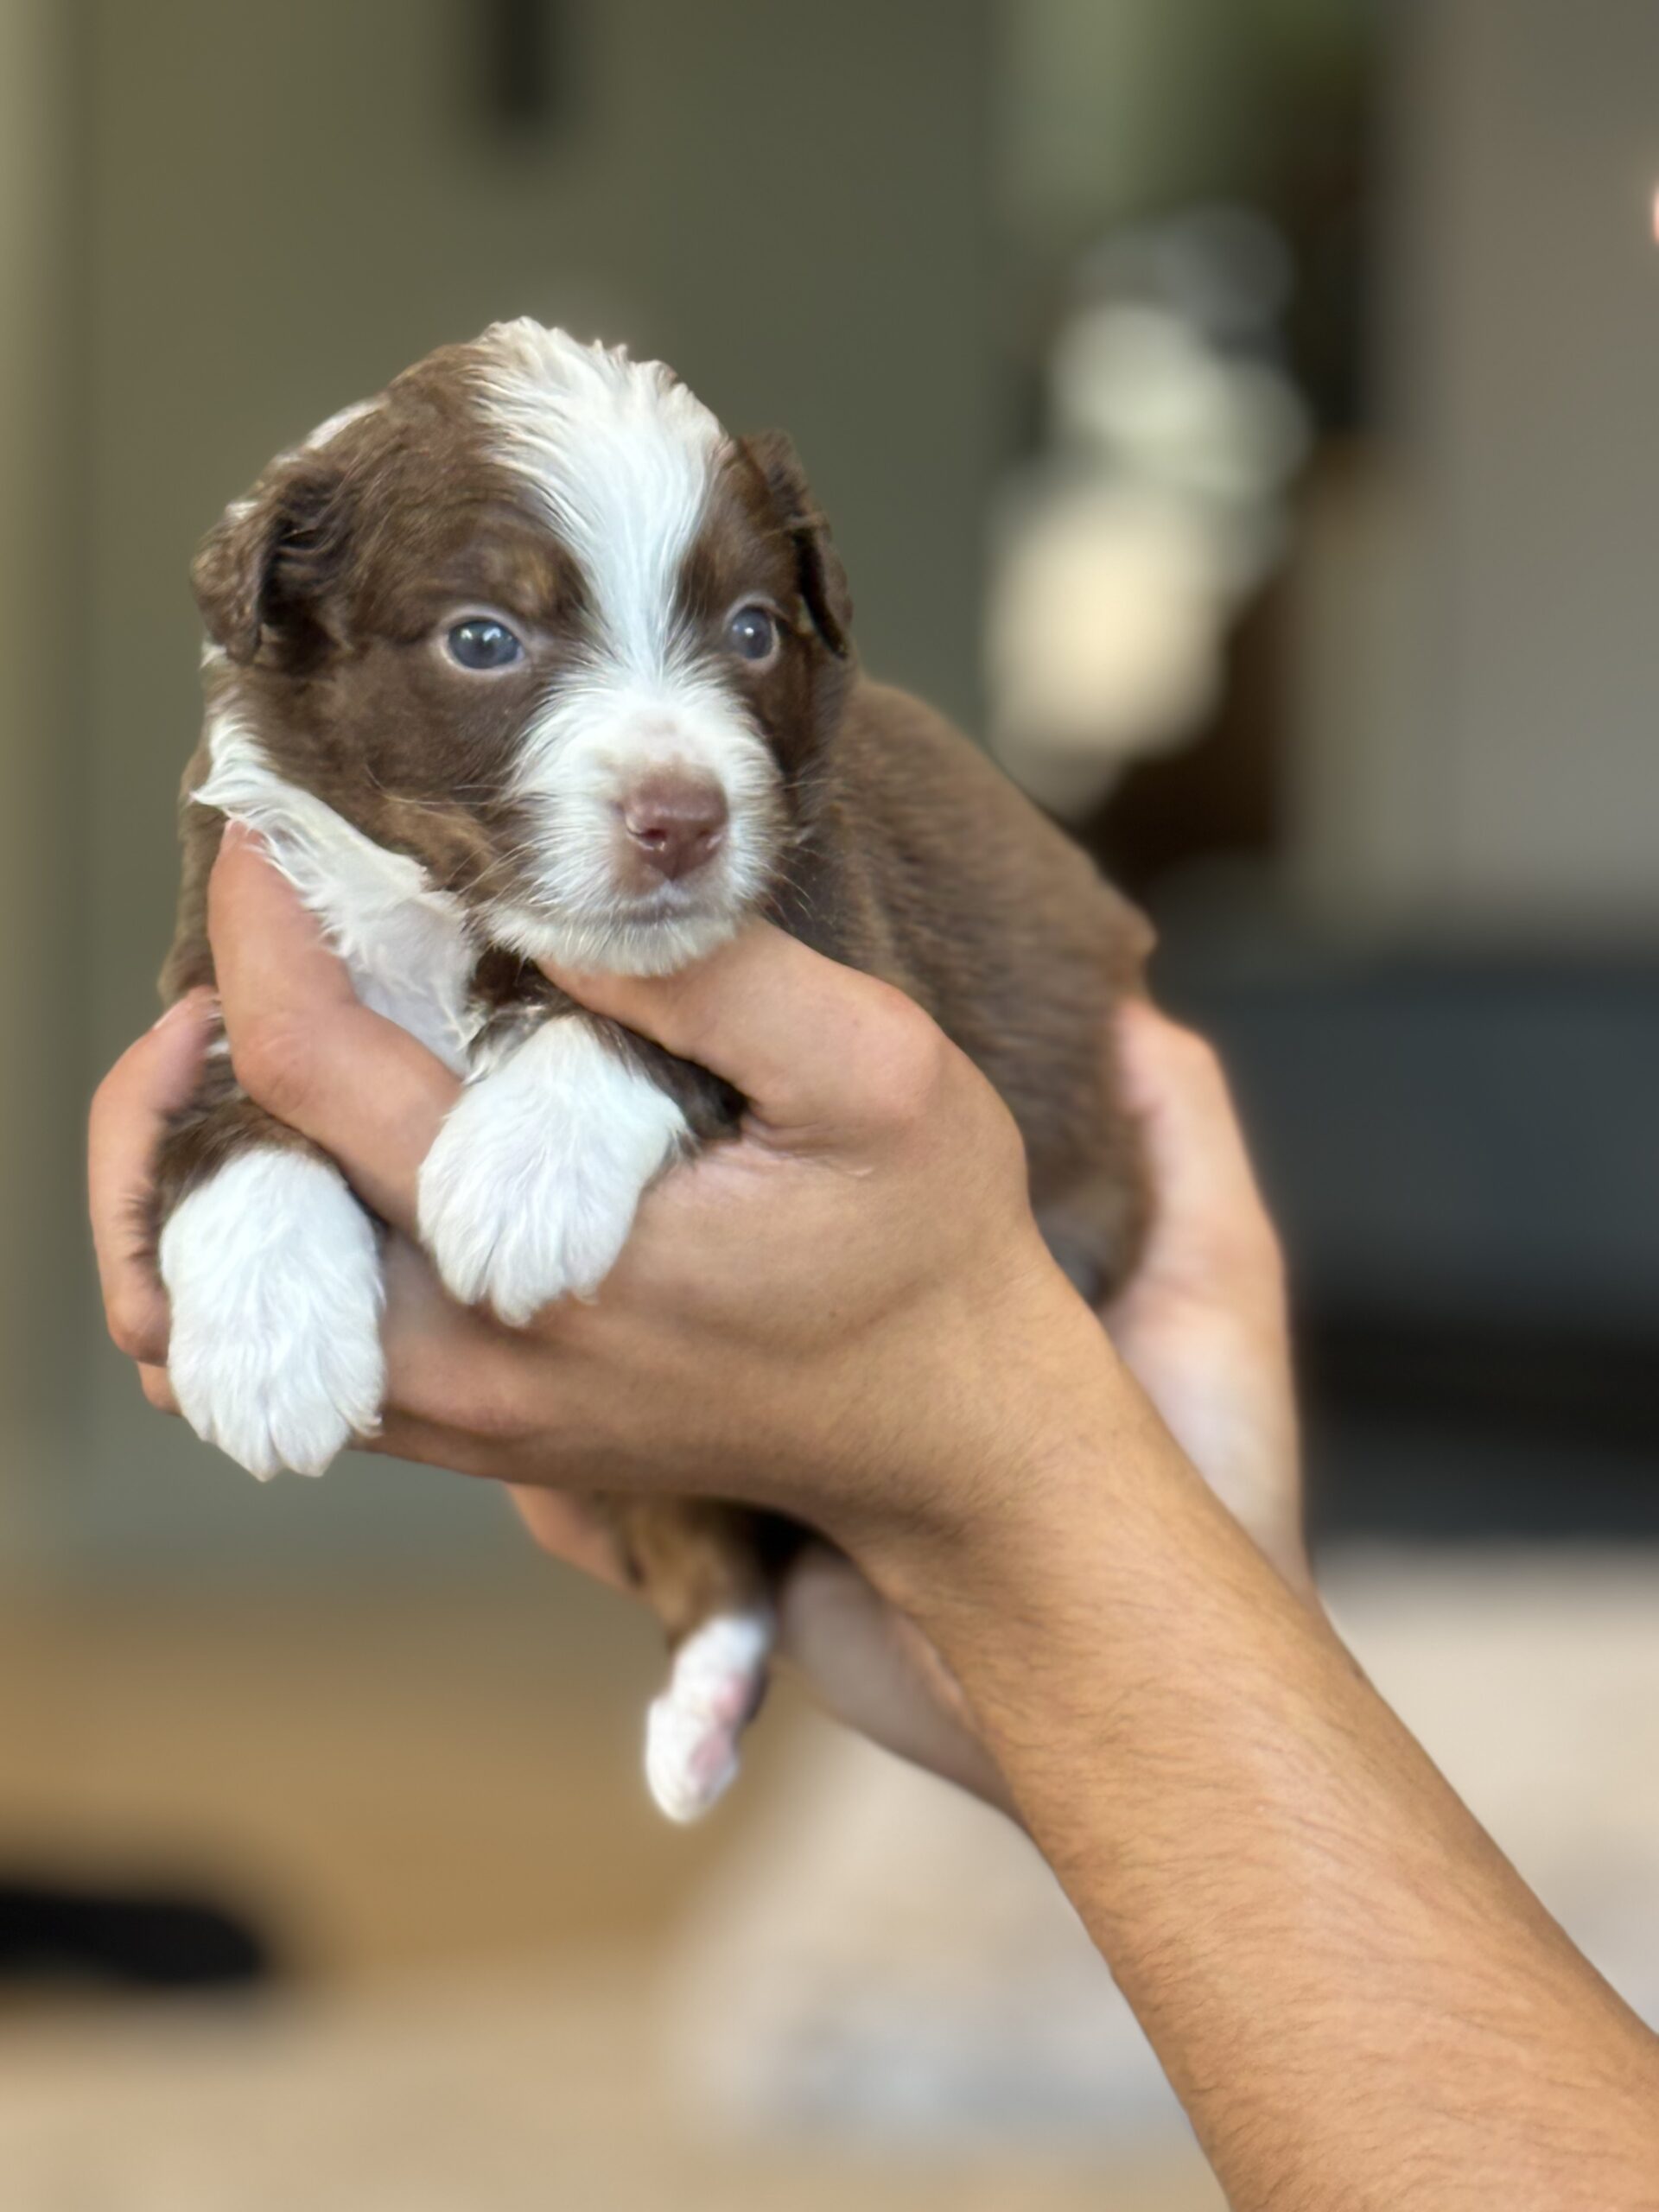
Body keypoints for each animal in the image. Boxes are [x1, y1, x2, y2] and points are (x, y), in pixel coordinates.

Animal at [156, 321, 1150, 1822]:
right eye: (484, 640)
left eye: (753, 630)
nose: (684, 819)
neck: (458, 927)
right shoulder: (227, 953)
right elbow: (229, 1112)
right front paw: (265, 1340)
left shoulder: (843, 935)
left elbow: (647, 1021)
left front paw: (520, 1175)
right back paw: (698, 1710)